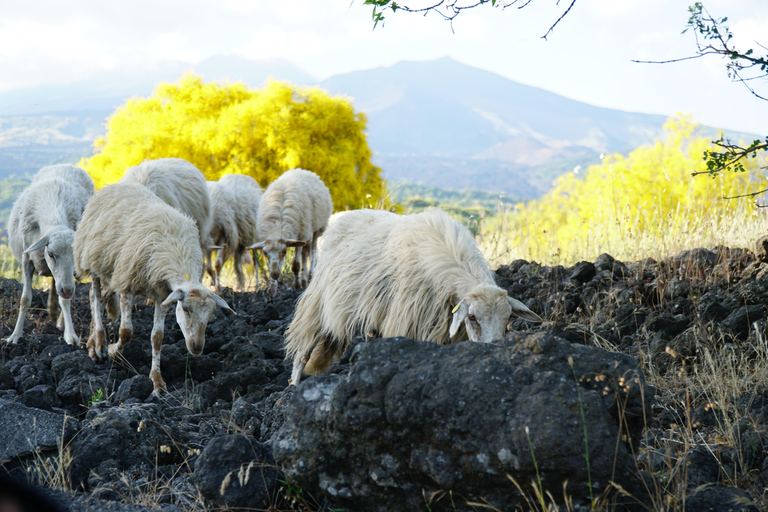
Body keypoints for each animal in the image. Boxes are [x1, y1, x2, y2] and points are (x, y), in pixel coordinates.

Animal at [6, 164, 94, 348]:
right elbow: (25, 299)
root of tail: (67, 165)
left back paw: (58, 319)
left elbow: (66, 300)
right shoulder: (27, 260)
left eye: (74, 256)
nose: (67, 290)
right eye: (51, 253)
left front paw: (70, 335)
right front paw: (15, 335)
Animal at [74, 182, 234, 394]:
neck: (176, 253)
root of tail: (115, 185)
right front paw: (114, 351)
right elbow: (126, 331)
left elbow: (158, 337)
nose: (197, 348)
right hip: (94, 258)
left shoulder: (162, 295)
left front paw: (157, 382)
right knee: (95, 295)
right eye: (186, 309)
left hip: (113, 269)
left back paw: (92, 342)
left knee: (102, 298)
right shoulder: (127, 283)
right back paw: (99, 343)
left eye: (210, 315)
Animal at [284, 208, 544, 384]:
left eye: (508, 318)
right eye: (472, 318)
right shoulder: (407, 320)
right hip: (318, 300)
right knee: (302, 350)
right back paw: (294, 386)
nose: (494, 351)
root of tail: (340, 215)